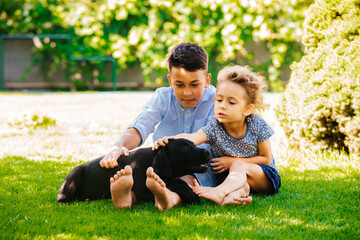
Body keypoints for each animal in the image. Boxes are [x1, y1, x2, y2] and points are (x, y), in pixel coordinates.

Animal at [57, 139, 210, 204]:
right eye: (185, 148)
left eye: (194, 145)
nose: (207, 152)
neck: (151, 161)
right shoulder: (143, 190)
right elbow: (170, 180)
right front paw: (189, 193)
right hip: (75, 175)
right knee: (61, 198)